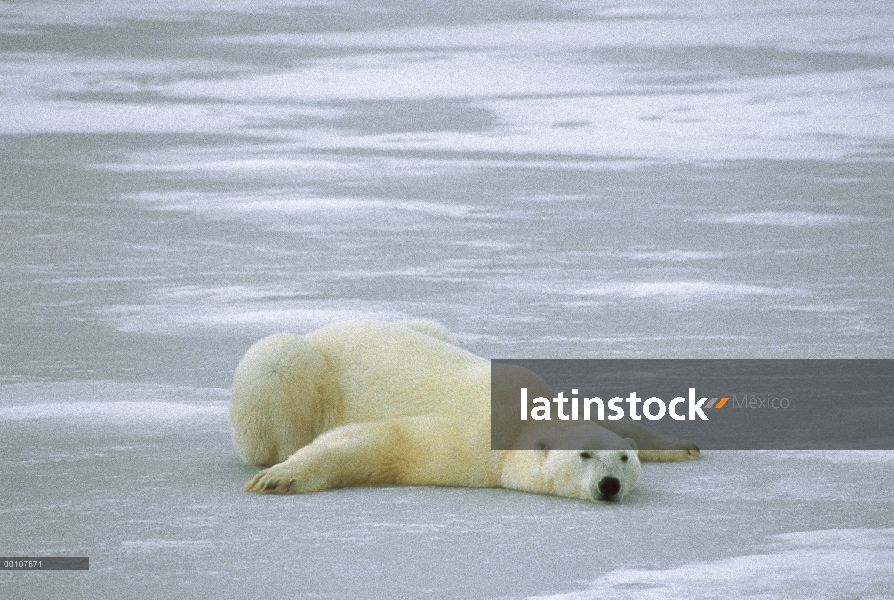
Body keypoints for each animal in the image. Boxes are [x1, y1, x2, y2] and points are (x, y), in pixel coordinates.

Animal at [231, 324, 700, 502]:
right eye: (584, 456)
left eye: (623, 458)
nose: (609, 485)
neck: (521, 421)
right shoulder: (466, 441)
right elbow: (383, 442)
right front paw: (281, 478)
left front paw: (683, 444)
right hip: (298, 369)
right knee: (277, 363)